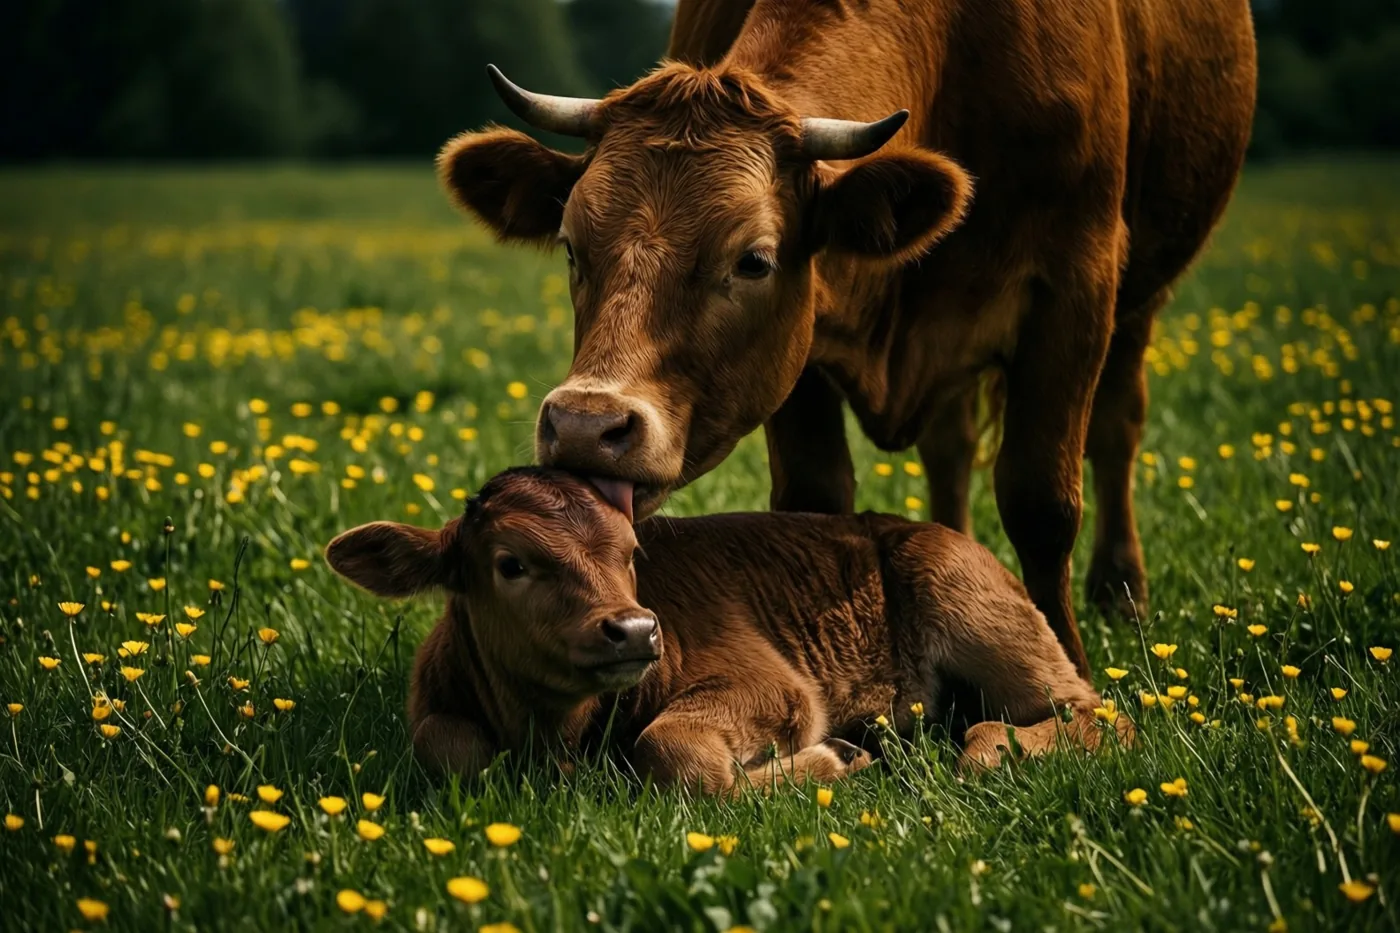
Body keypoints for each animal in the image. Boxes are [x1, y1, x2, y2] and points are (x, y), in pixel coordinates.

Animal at [325, 468, 1131, 794]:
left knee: (1092, 713)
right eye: (510, 562)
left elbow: (674, 751)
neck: (555, 730)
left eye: (631, 553)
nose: (635, 630)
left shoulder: (774, 685)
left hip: (976, 609)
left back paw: (982, 751)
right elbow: (449, 746)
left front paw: (831, 759)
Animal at [434, 0, 1258, 678]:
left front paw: (1068, 664)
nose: (583, 425)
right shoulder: (802, 351)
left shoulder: (1075, 284)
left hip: (1140, 299)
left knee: (1117, 429)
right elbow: (815, 497)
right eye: (572, 247)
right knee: (952, 448)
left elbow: (1042, 499)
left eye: (754, 260)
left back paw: (1121, 592)